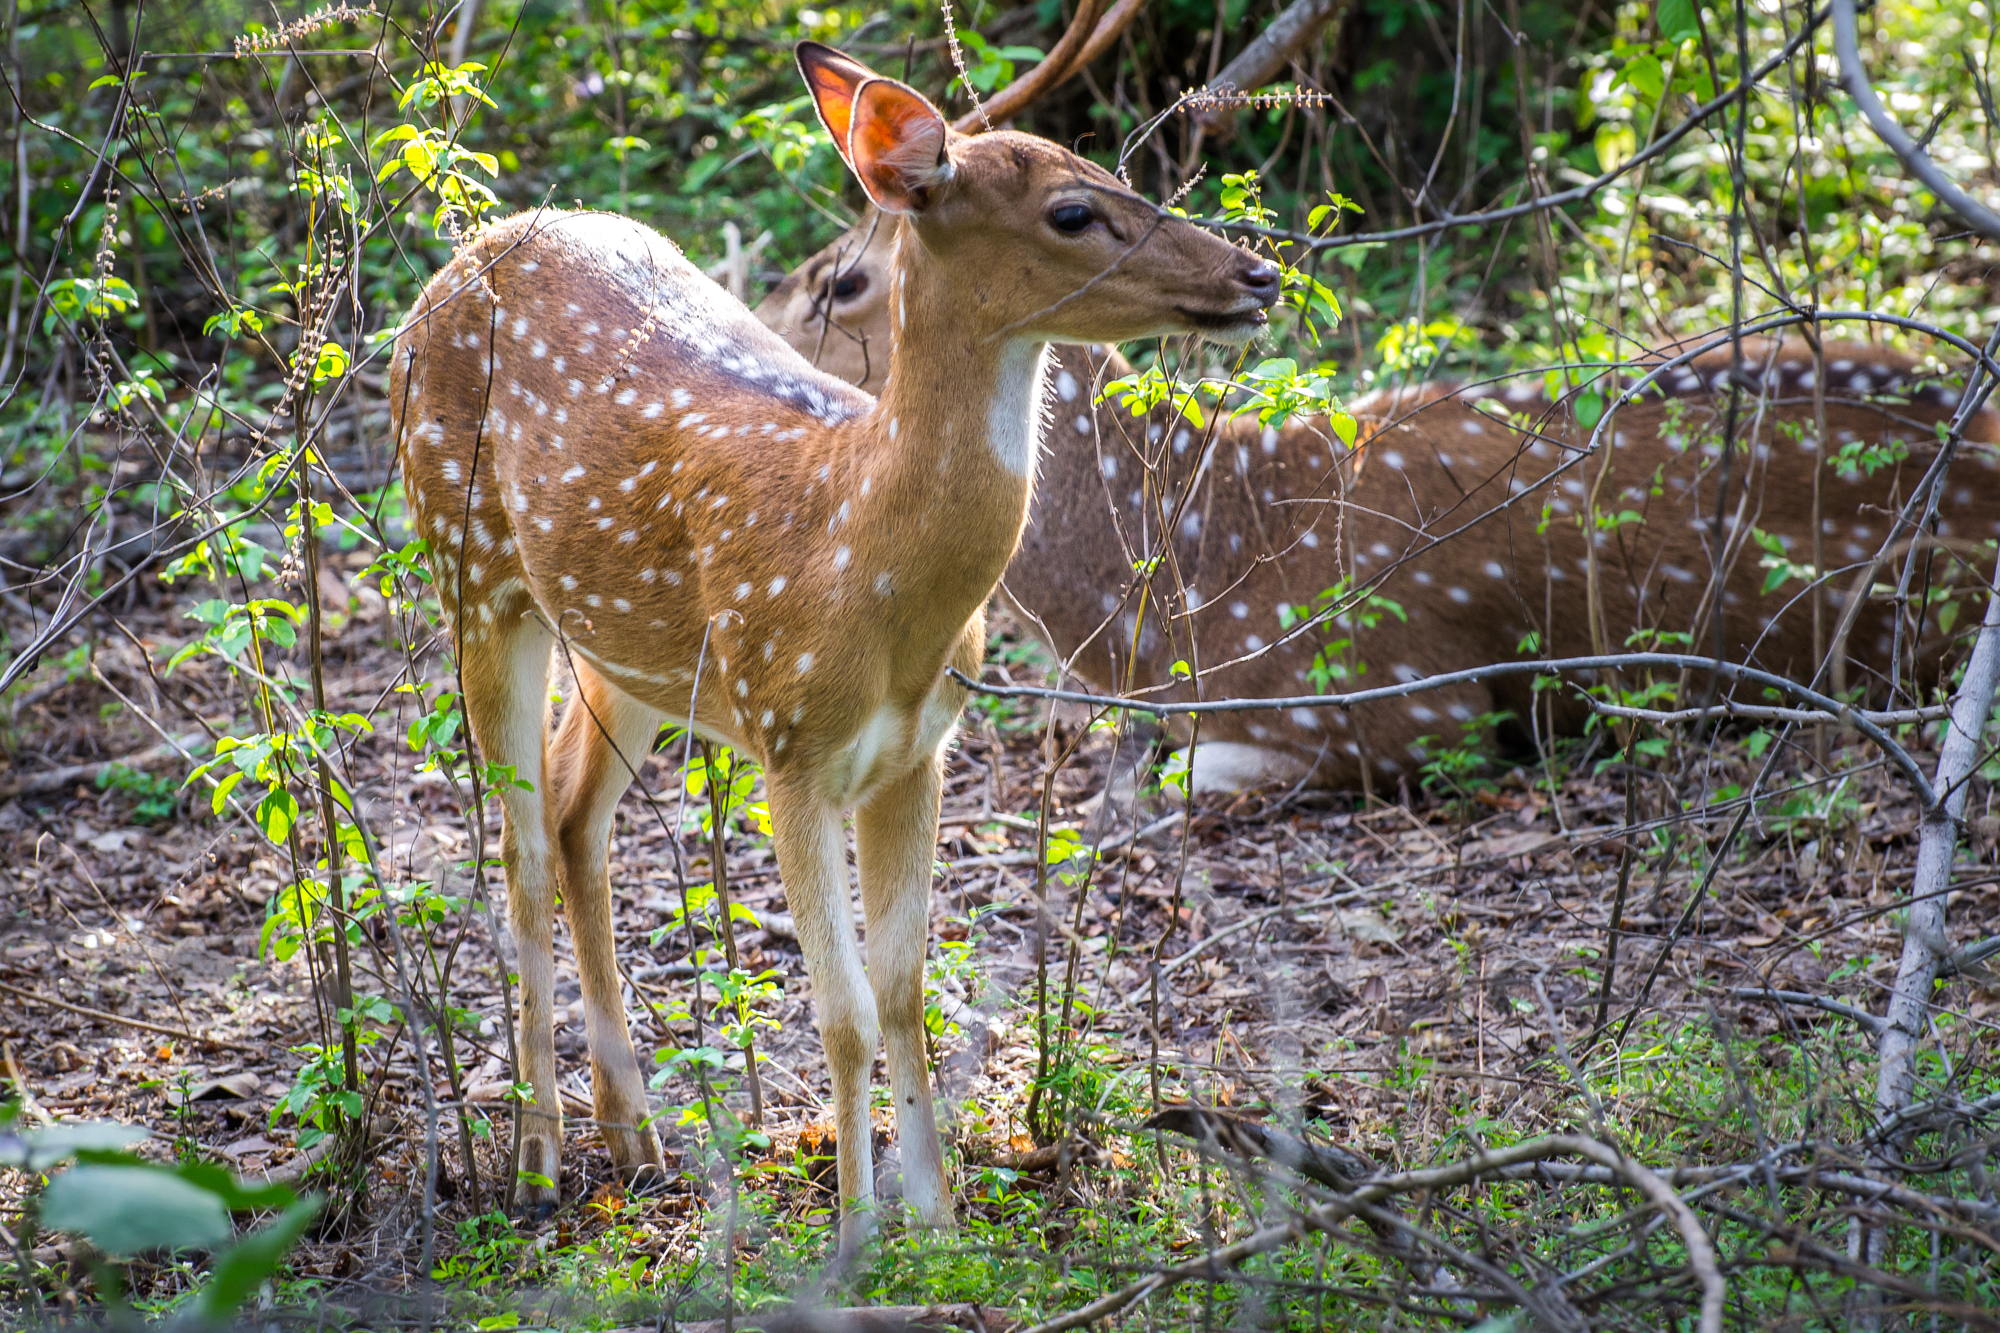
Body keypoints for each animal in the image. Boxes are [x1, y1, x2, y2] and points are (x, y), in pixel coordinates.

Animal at [390, 39, 1280, 1232]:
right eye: (1073, 210)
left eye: (1112, 174)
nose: (1254, 275)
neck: (863, 558)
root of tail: (462, 257)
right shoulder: (791, 742)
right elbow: (842, 1010)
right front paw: (859, 1230)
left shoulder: (918, 751)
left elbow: (904, 990)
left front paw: (938, 1219)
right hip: (472, 568)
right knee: (520, 841)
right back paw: (535, 1159)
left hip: (626, 648)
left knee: (576, 817)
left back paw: (636, 1140)